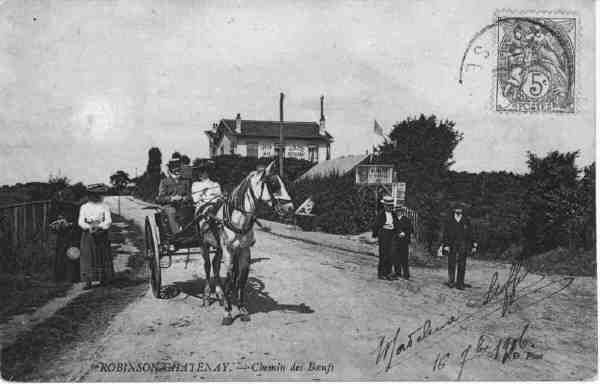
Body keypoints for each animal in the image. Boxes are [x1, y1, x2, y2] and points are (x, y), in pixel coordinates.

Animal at [196, 160, 292, 326]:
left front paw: (241, 309)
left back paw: (220, 295)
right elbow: (229, 279)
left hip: (219, 247)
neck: (237, 219)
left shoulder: (244, 251)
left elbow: (240, 279)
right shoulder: (228, 251)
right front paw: (228, 312)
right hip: (204, 245)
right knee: (208, 267)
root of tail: (204, 207)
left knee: (215, 266)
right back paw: (207, 296)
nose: (290, 208)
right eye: (274, 184)